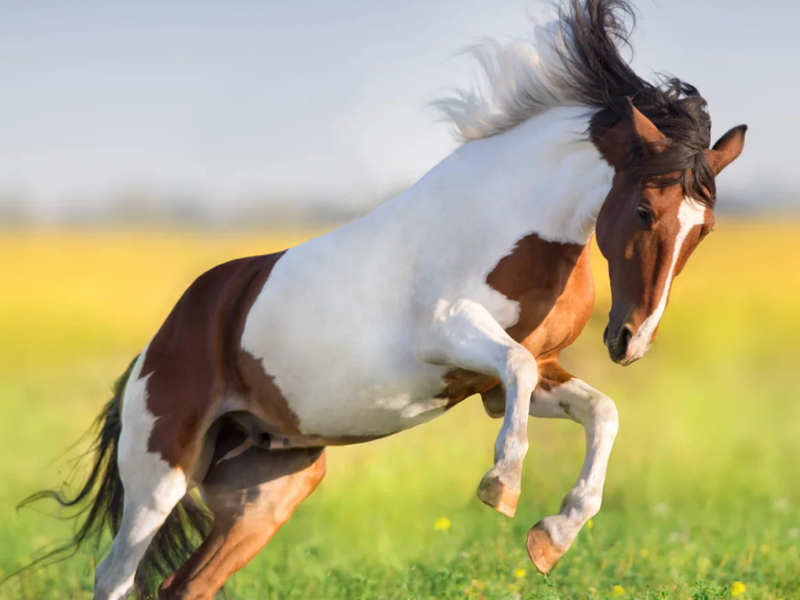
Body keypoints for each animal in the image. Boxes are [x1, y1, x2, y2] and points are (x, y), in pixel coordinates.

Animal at [21, 0, 747, 598]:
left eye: (704, 229)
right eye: (646, 210)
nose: (631, 341)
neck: (516, 217)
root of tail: (162, 340)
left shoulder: (511, 381)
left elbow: (602, 413)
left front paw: (552, 537)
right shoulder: (453, 334)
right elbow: (519, 373)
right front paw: (502, 488)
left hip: (268, 490)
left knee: (184, 586)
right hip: (160, 473)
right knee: (116, 575)